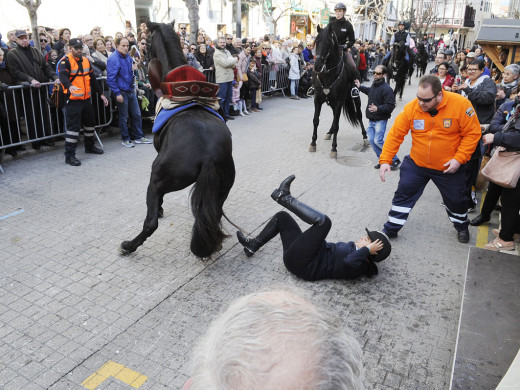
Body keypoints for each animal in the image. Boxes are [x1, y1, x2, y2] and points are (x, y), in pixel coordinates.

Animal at [121, 22, 235, 258]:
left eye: (147, 40)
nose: (141, 56)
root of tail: (209, 154)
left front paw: (160, 210)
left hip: (156, 181)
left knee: (150, 223)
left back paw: (129, 245)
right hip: (222, 188)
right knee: (213, 214)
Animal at [308, 24, 366, 158]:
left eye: (329, 42)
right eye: (316, 41)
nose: (317, 66)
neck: (328, 74)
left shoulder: (338, 102)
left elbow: (336, 125)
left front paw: (334, 149)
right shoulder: (318, 100)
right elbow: (316, 120)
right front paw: (313, 144)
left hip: (354, 98)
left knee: (359, 115)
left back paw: (365, 137)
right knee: (335, 118)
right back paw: (329, 133)